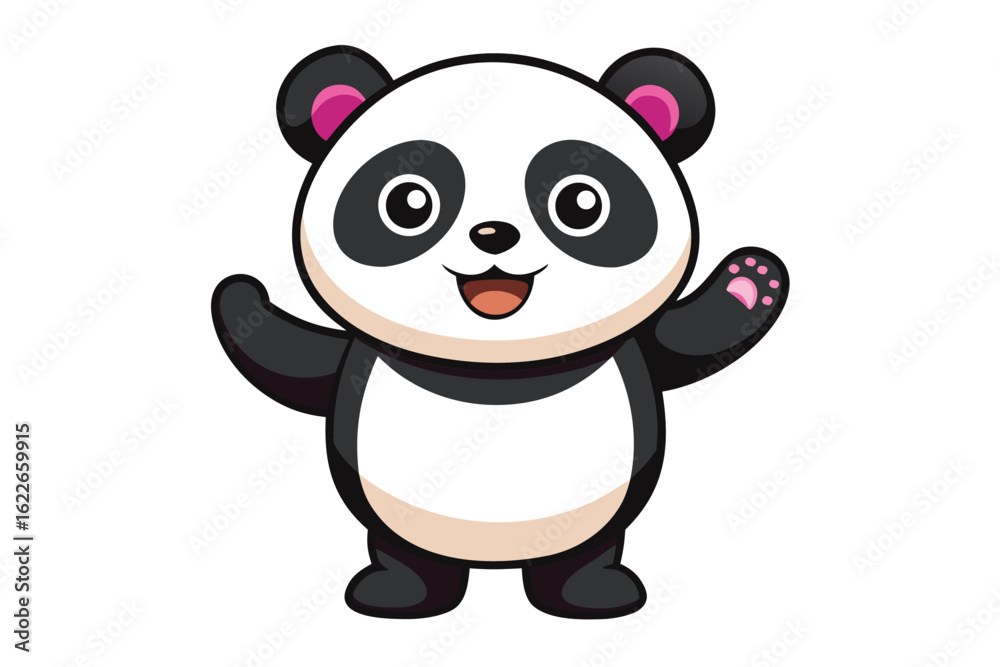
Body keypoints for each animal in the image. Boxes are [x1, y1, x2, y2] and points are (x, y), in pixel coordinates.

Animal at [211, 46, 788, 620]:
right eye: (408, 204)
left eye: (581, 203)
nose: (494, 234)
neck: (495, 365)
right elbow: (295, 361)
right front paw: (241, 297)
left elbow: (686, 342)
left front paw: (751, 281)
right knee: (406, 553)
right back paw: (401, 593)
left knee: (583, 554)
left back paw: (590, 593)